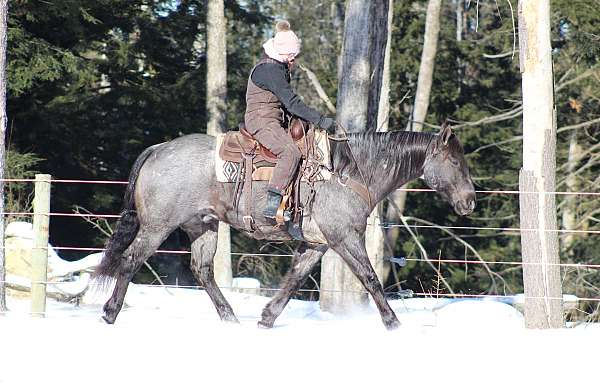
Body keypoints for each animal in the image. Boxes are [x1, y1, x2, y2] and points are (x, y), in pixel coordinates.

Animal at [94, 122, 476, 330]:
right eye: (456, 162)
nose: (470, 201)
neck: (348, 172)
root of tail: (157, 149)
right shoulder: (344, 238)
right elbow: (370, 278)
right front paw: (394, 323)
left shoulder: (318, 243)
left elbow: (295, 279)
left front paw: (267, 317)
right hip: (157, 226)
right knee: (130, 260)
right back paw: (110, 313)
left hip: (203, 225)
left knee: (202, 271)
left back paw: (231, 319)